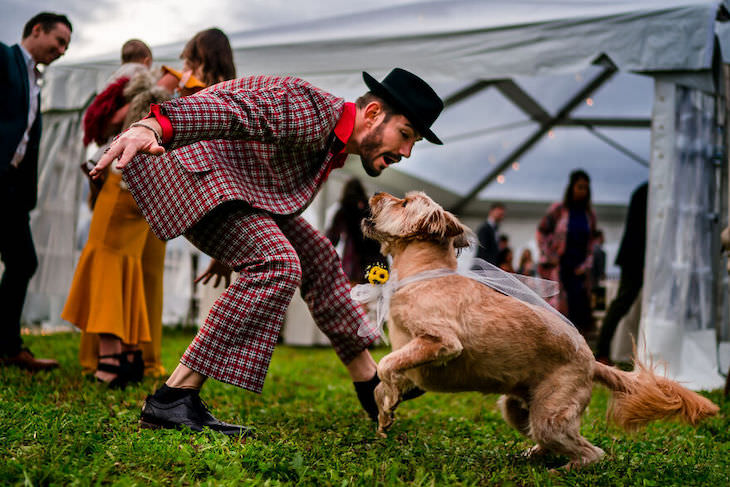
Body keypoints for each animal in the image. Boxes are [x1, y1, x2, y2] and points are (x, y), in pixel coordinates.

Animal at [360, 191, 716, 468]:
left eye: (404, 203)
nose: (375, 193)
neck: (425, 275)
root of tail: (592, 363)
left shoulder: (441, 341)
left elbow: (387, 364)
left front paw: (387, 405)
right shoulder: (411, 350)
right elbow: (385, 378)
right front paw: (386, 410)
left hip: (550, 416)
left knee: (591, 453)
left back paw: (562, 471)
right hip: (516, 409)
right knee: (548, 441)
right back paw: (533, 455)